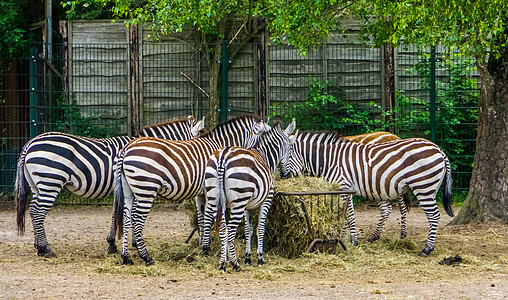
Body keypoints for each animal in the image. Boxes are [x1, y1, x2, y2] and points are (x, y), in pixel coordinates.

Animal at [15, 115, 203, 258]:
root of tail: (29, 144)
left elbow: (116, 213)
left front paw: (115, 243)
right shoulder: (133, 186)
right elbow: (126, 214)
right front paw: (128, 243)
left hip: (37, 184)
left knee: (32, 210)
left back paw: (38, 246)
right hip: (50, 181)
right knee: (38, 212)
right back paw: (46, 249)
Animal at [111, 114, 270, 264]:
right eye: (262, 136)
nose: (260, 158)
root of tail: (126, 149)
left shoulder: (201, 193)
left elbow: (201, 218)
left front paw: (201, 245)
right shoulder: (210, 190)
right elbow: (208, 217)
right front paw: (206, 247)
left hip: (129, 190)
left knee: (126, 217)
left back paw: (125, 257)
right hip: (146, 189)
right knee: (137, 219)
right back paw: (145, 256)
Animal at [201, 118, 298, 270]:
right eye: (291, 150)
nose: (286, 176)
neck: (265, 156)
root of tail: (223, 156)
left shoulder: (246, 205)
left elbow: (248, 229)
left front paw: (247, 257)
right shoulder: (267, 199)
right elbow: (260, 228)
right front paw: (259, 257)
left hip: (215, 198)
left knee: (223, 230)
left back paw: (223, 263)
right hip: (238, 202)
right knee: (230, 231)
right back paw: (235, 263)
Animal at [282, 132, 452, 256]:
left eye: (286, 156)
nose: (282, 176)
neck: (329, 161)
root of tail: (439, 150)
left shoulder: (345, 187)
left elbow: (348, 216)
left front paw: (352, 241)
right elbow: (344, 216)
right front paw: (345, 240)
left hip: (423, 187)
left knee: (433, 215)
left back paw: (427, 249)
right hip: (427, 189)